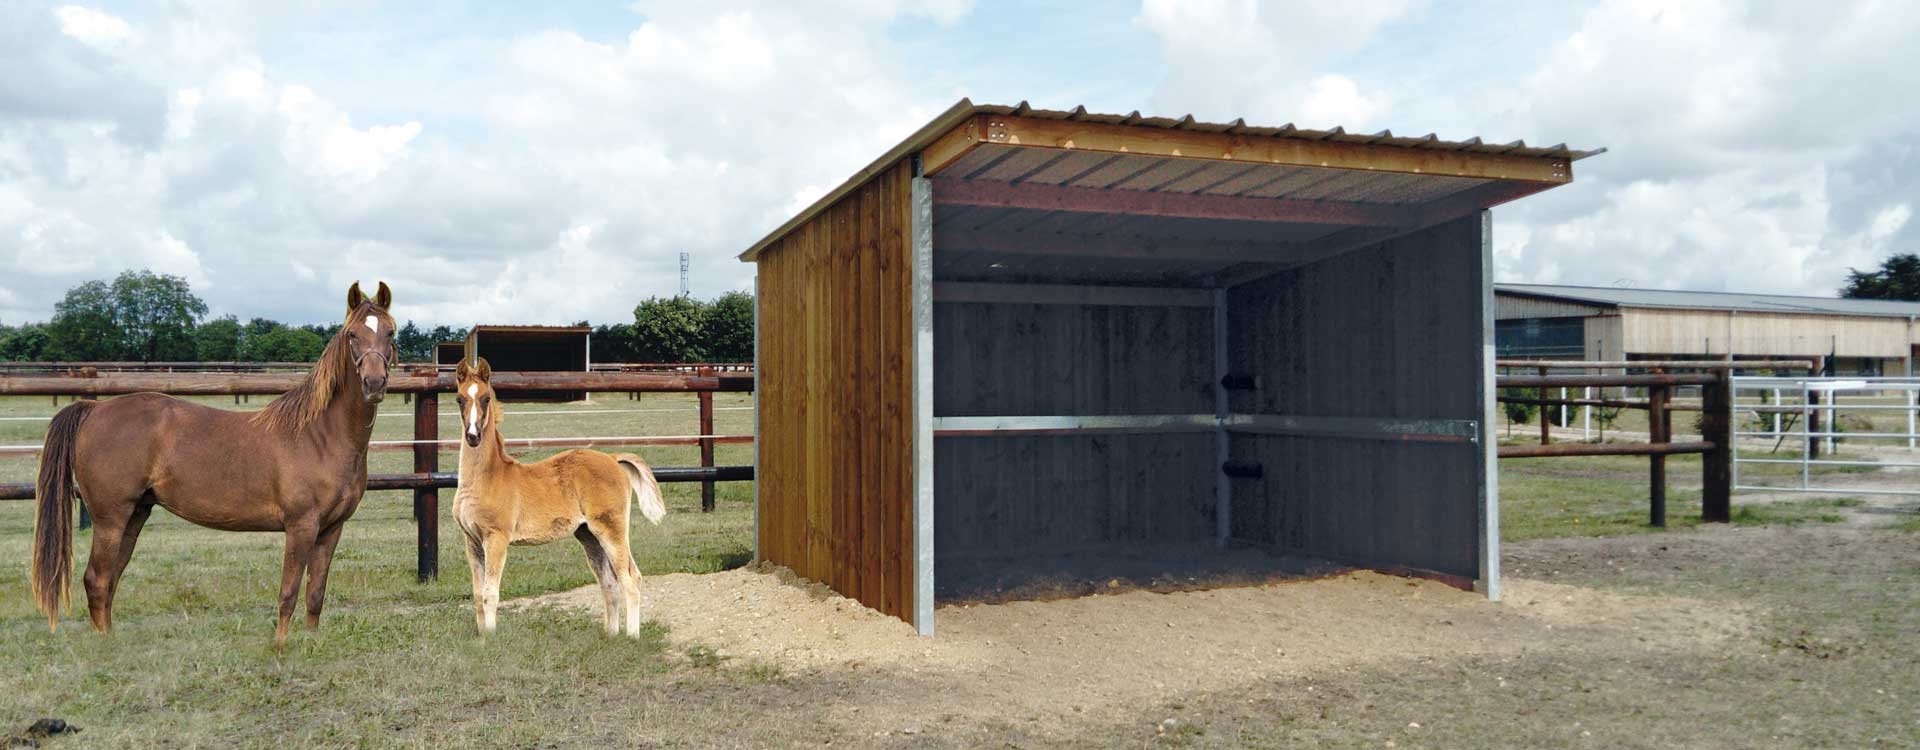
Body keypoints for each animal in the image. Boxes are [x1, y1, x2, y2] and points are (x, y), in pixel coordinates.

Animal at [449, 358, 668, 632]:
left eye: (486, 398)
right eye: (459, 399)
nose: (473, 436)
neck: (487, 478)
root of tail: (613, 458)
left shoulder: (496, 538)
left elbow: (491, 594)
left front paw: (491, 637)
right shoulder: (472, 542)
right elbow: (478, 596)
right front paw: (482, 637)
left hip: (612, 529)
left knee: (630, 578)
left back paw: (631, 636)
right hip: (588, 535)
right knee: (609, 583)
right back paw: (611, 636)